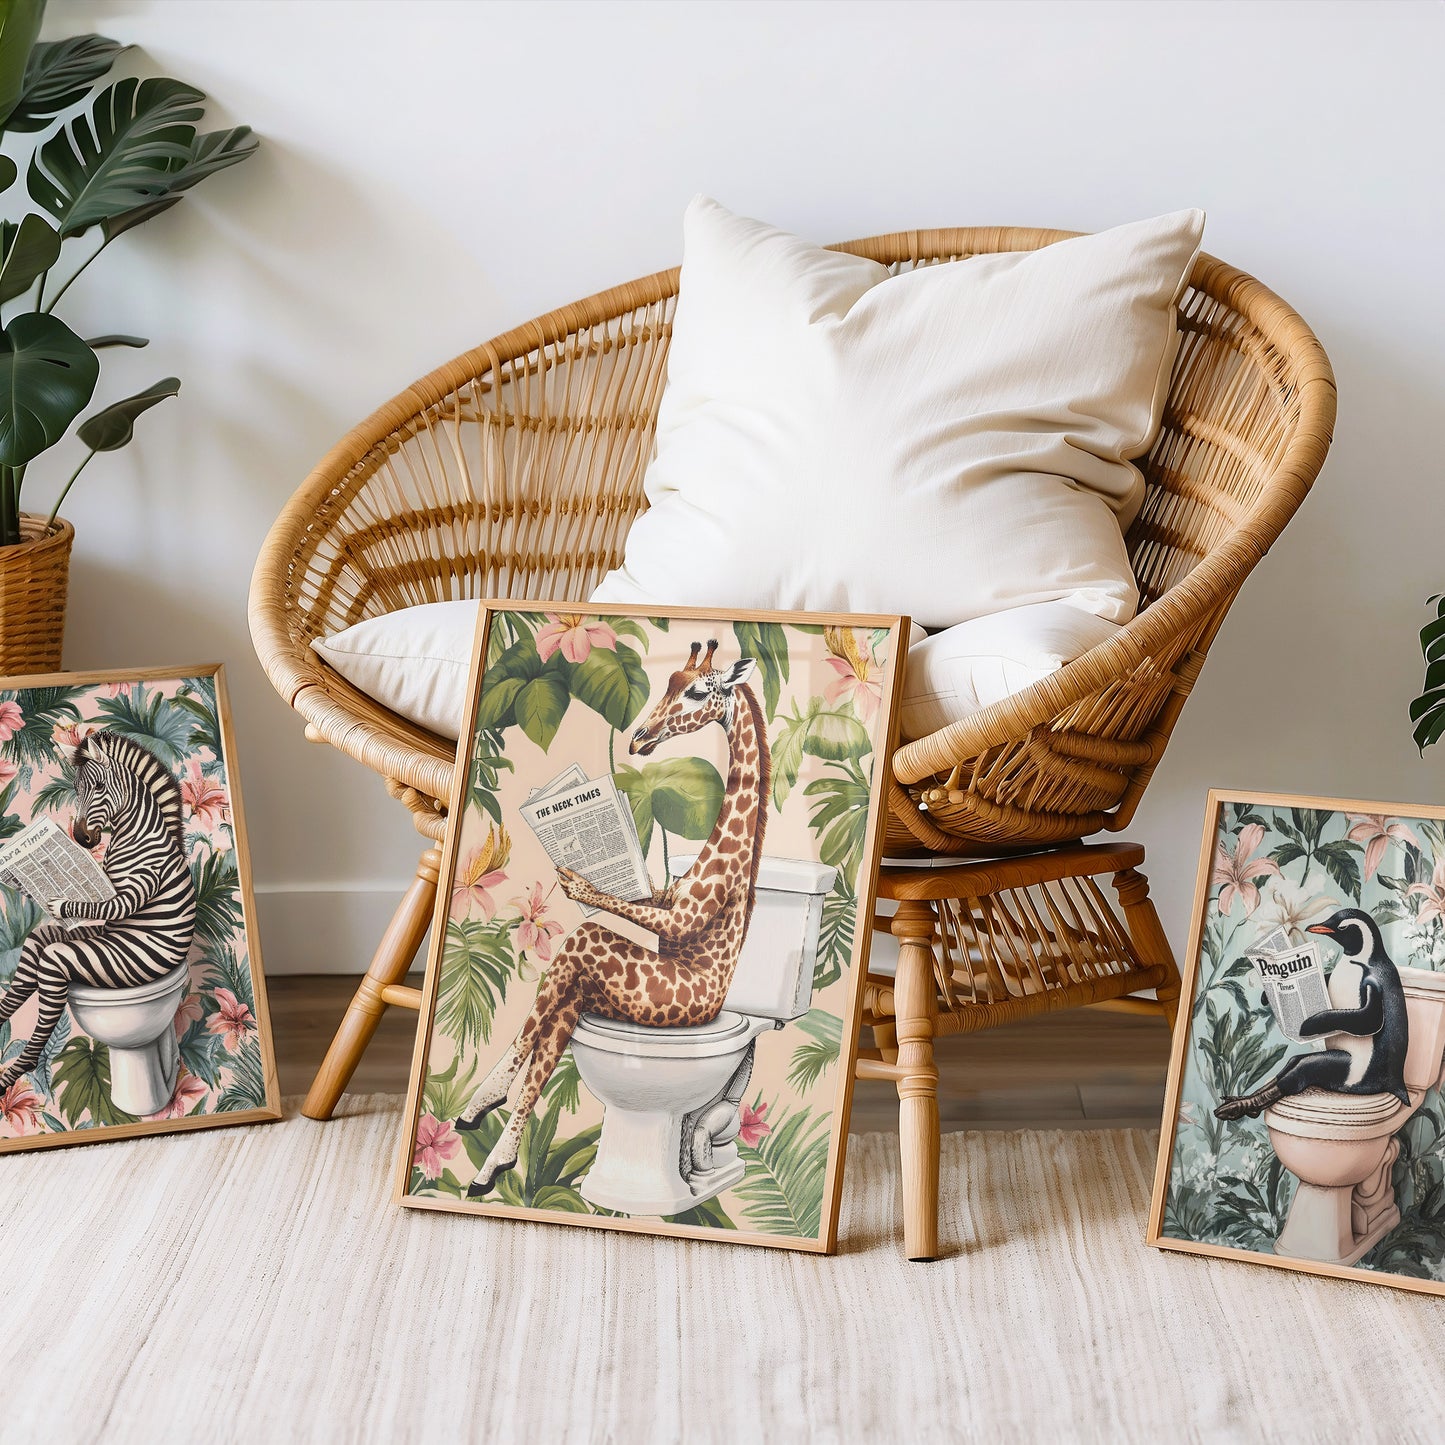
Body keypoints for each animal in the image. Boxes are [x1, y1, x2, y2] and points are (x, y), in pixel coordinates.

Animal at [0, 734, 197, 1092]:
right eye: (76, 790)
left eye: (101, 786)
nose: (81, 838)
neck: (136, 832)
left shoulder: (141, 881)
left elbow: (116, 903)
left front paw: (59, 903)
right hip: (79, 938)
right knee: (37, 944)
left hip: (95, 960)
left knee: (51, 961)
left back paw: (17, 1070)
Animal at [456, 641, 774, 1196]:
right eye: (667, 683)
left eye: (696, 691)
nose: (639, 739)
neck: (725, 847)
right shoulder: (668, 895)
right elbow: (647, 899)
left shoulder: (687, 913)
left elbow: (643, 915)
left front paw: (578, 885)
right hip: (598, 998)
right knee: (553, 1014)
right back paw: (480, 1120)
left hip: (642, 993)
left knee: (580, 944)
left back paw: (490, 1164)